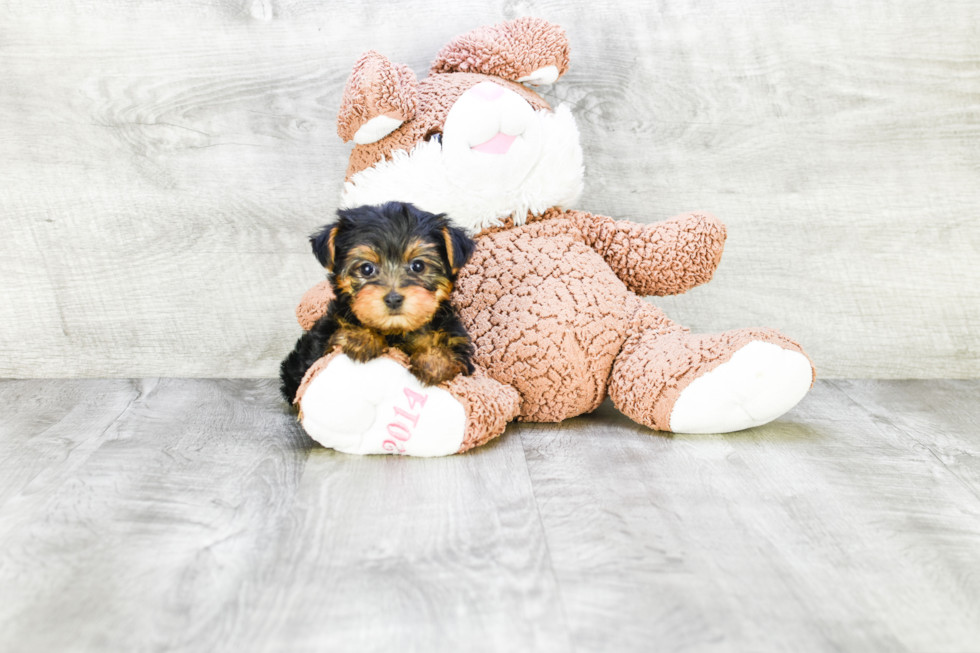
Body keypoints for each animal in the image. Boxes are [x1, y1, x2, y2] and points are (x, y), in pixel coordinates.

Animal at [278, 201, 476, 402]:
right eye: (366, 269)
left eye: (418, 266)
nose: (393, 299)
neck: (395, 331)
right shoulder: (323, 337)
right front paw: (361, 338)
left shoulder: (455, 338)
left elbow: (451, 352)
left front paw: (434, 362)